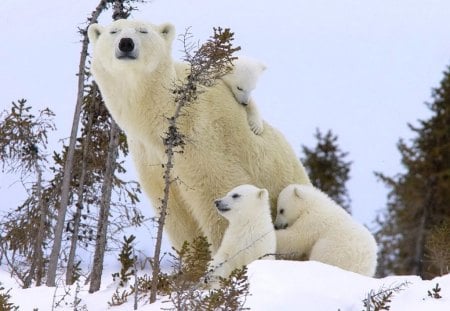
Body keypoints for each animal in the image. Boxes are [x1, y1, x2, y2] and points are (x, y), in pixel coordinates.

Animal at [87, 18, 310, 254]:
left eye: (143, 30)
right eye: (113, 31)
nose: (126, 43)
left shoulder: (202, 138)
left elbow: (217, 195)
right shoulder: (149, 156)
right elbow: (177, 215)